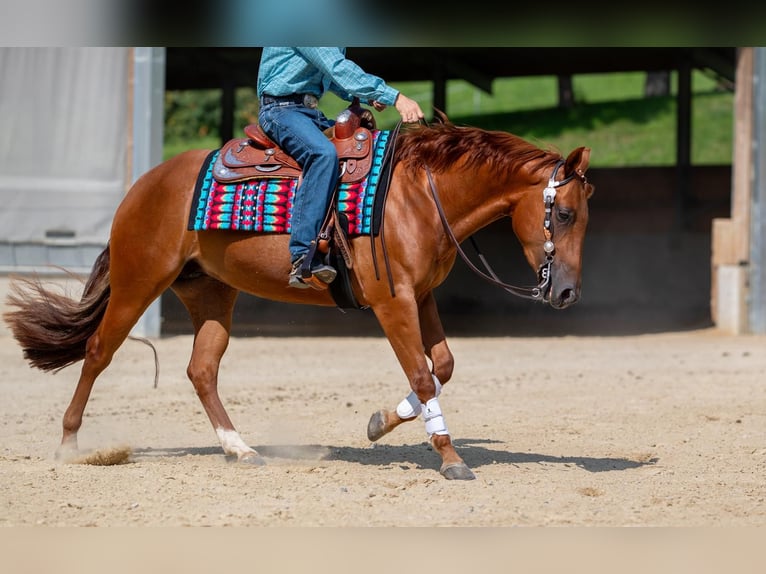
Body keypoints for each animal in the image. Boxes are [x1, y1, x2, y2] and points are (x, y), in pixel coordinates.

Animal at [3, 113, 594, 480]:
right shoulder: (393, 302)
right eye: (564, 214)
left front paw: (381, 422)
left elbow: (442, 366)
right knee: (98, 351)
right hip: (137, 282)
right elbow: (425, 375)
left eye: (583, 216)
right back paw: (70, 445)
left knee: (201, 369)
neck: (418, 195)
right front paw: (450, 458)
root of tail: (144, 185)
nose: (567, 292)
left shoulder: (421, 296)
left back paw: (240, 449)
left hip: (211, 294)